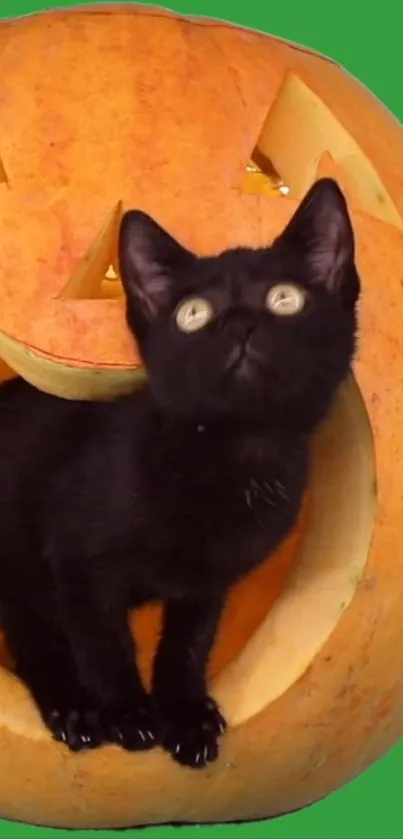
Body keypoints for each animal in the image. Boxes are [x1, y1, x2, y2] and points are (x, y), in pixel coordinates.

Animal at [0, 179, 362, 768]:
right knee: (35, 633)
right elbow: (104, 641)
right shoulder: (79, 560)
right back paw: (75, 710)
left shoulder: (208, 582)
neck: (233, 457)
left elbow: (188, 644)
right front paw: (127, 712)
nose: (239, 325)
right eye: (193, 313)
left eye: (286, 299)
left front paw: (187, 716)